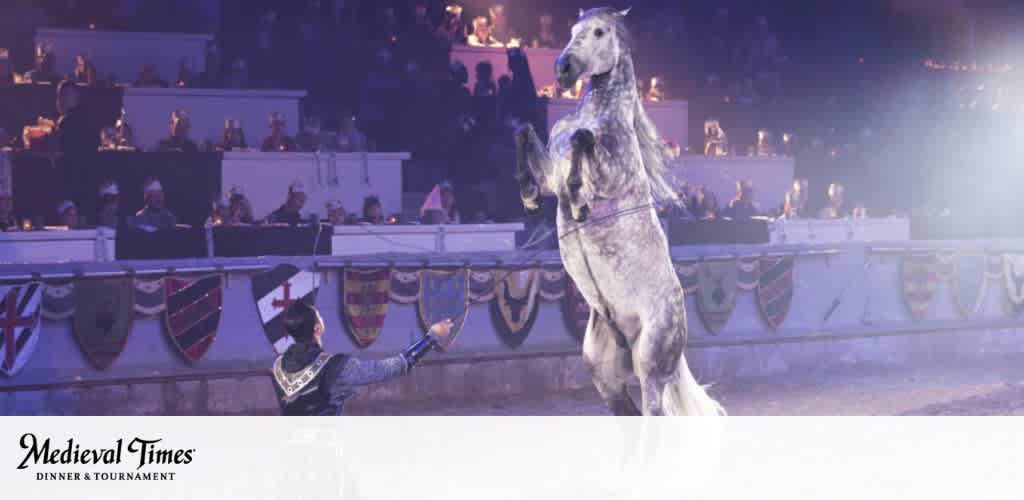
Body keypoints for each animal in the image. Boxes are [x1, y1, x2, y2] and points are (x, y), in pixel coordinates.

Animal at [512, 6, 720, 418]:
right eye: (572, 30)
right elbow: (526, 134)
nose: (562, 67)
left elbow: (582, 143)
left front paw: (579, 201)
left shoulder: (612, 175)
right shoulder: (550, 176)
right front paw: (528, 196)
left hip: (651, 366)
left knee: (653, 415)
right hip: (603, 373)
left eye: (599, 32)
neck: (596, 113)